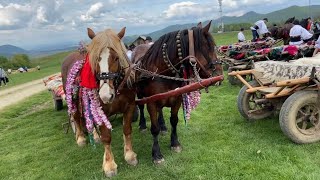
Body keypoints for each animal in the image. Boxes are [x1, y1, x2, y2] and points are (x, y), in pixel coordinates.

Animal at [61, 27, 138, 176]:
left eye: (116, 57)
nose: (105, 95)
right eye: (97, 58)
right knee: (76, 117)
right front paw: (109, 165)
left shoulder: (130, 106)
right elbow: (106, 137)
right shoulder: (101, 111)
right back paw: (81, 138)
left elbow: (127, 130)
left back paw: (94, 136)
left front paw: (129, 155)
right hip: (72, 99)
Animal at [131, 21, 221, 165]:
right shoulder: (151, 102)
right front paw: (157, 154)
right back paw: (143, 125)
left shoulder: (177, 98)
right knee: (141, 107)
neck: (163, 73)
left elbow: (174, 121)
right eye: (209, 47)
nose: (219, 74)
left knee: (160, 111)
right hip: (139, 94)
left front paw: (175, 143)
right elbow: (154, 128)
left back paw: (163, 126)